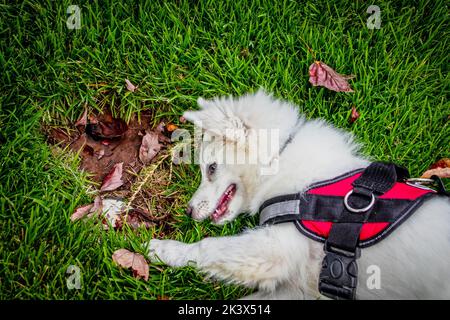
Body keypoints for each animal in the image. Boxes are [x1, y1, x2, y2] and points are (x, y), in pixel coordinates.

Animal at [147, 90, 450, 300]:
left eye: (211, 169)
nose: (188, 211)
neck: (279, 159)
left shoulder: (277, 250)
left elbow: (208, 246)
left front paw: (165, 249)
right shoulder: (301, 285)